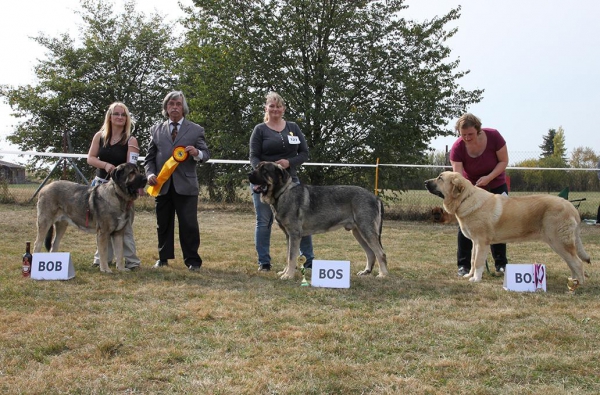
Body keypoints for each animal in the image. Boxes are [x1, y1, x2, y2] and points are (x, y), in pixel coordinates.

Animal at [248, 162, 390, 282]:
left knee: (380, 253)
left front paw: (288, 275)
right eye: (257, 167)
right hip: (358, 232)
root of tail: (375, 197)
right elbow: (289, 256)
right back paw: (366, 272)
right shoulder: (288, 236)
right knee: (371, 253)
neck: (282, 193)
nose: (249, 174)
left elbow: (292, 257)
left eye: (264, 170)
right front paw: (285, 272)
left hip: (366, 230)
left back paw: (383, 274)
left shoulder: (294, 235)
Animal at [426, 170, 592, 288]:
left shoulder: (482, 243)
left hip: (560, 242)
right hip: (558, 244)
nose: (425, 181)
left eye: (440, 178)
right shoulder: (475, 243)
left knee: (578, 263)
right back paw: (573, 280)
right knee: (572, 263)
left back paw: (578, 284)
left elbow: (478, 262)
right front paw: (470, 275)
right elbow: (473, 261)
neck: (465, 199)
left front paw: (476, 279)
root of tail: (571, 206)